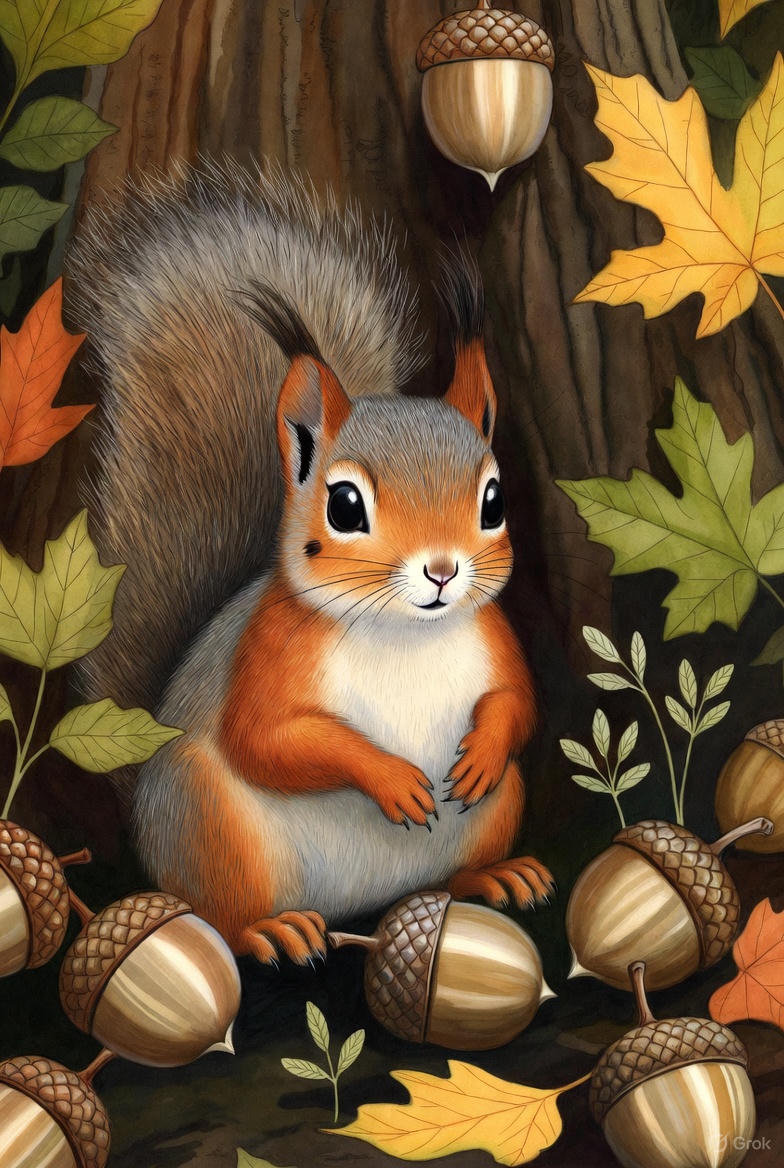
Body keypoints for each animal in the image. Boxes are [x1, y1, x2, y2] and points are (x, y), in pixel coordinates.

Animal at [68, 161, 553, 965]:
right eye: (346, 507)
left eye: (493, 499)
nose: (443, 571)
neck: (403, 635)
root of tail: (358, 905)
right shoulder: (272, 648)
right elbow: (266, 739)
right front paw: (390, 777)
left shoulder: (496, 635)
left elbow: (517, 702)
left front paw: (481, 750)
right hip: (211, 820)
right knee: (217, 910)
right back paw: (269, 929)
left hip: (500, 805)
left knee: (456, 869)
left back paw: (497, 875)